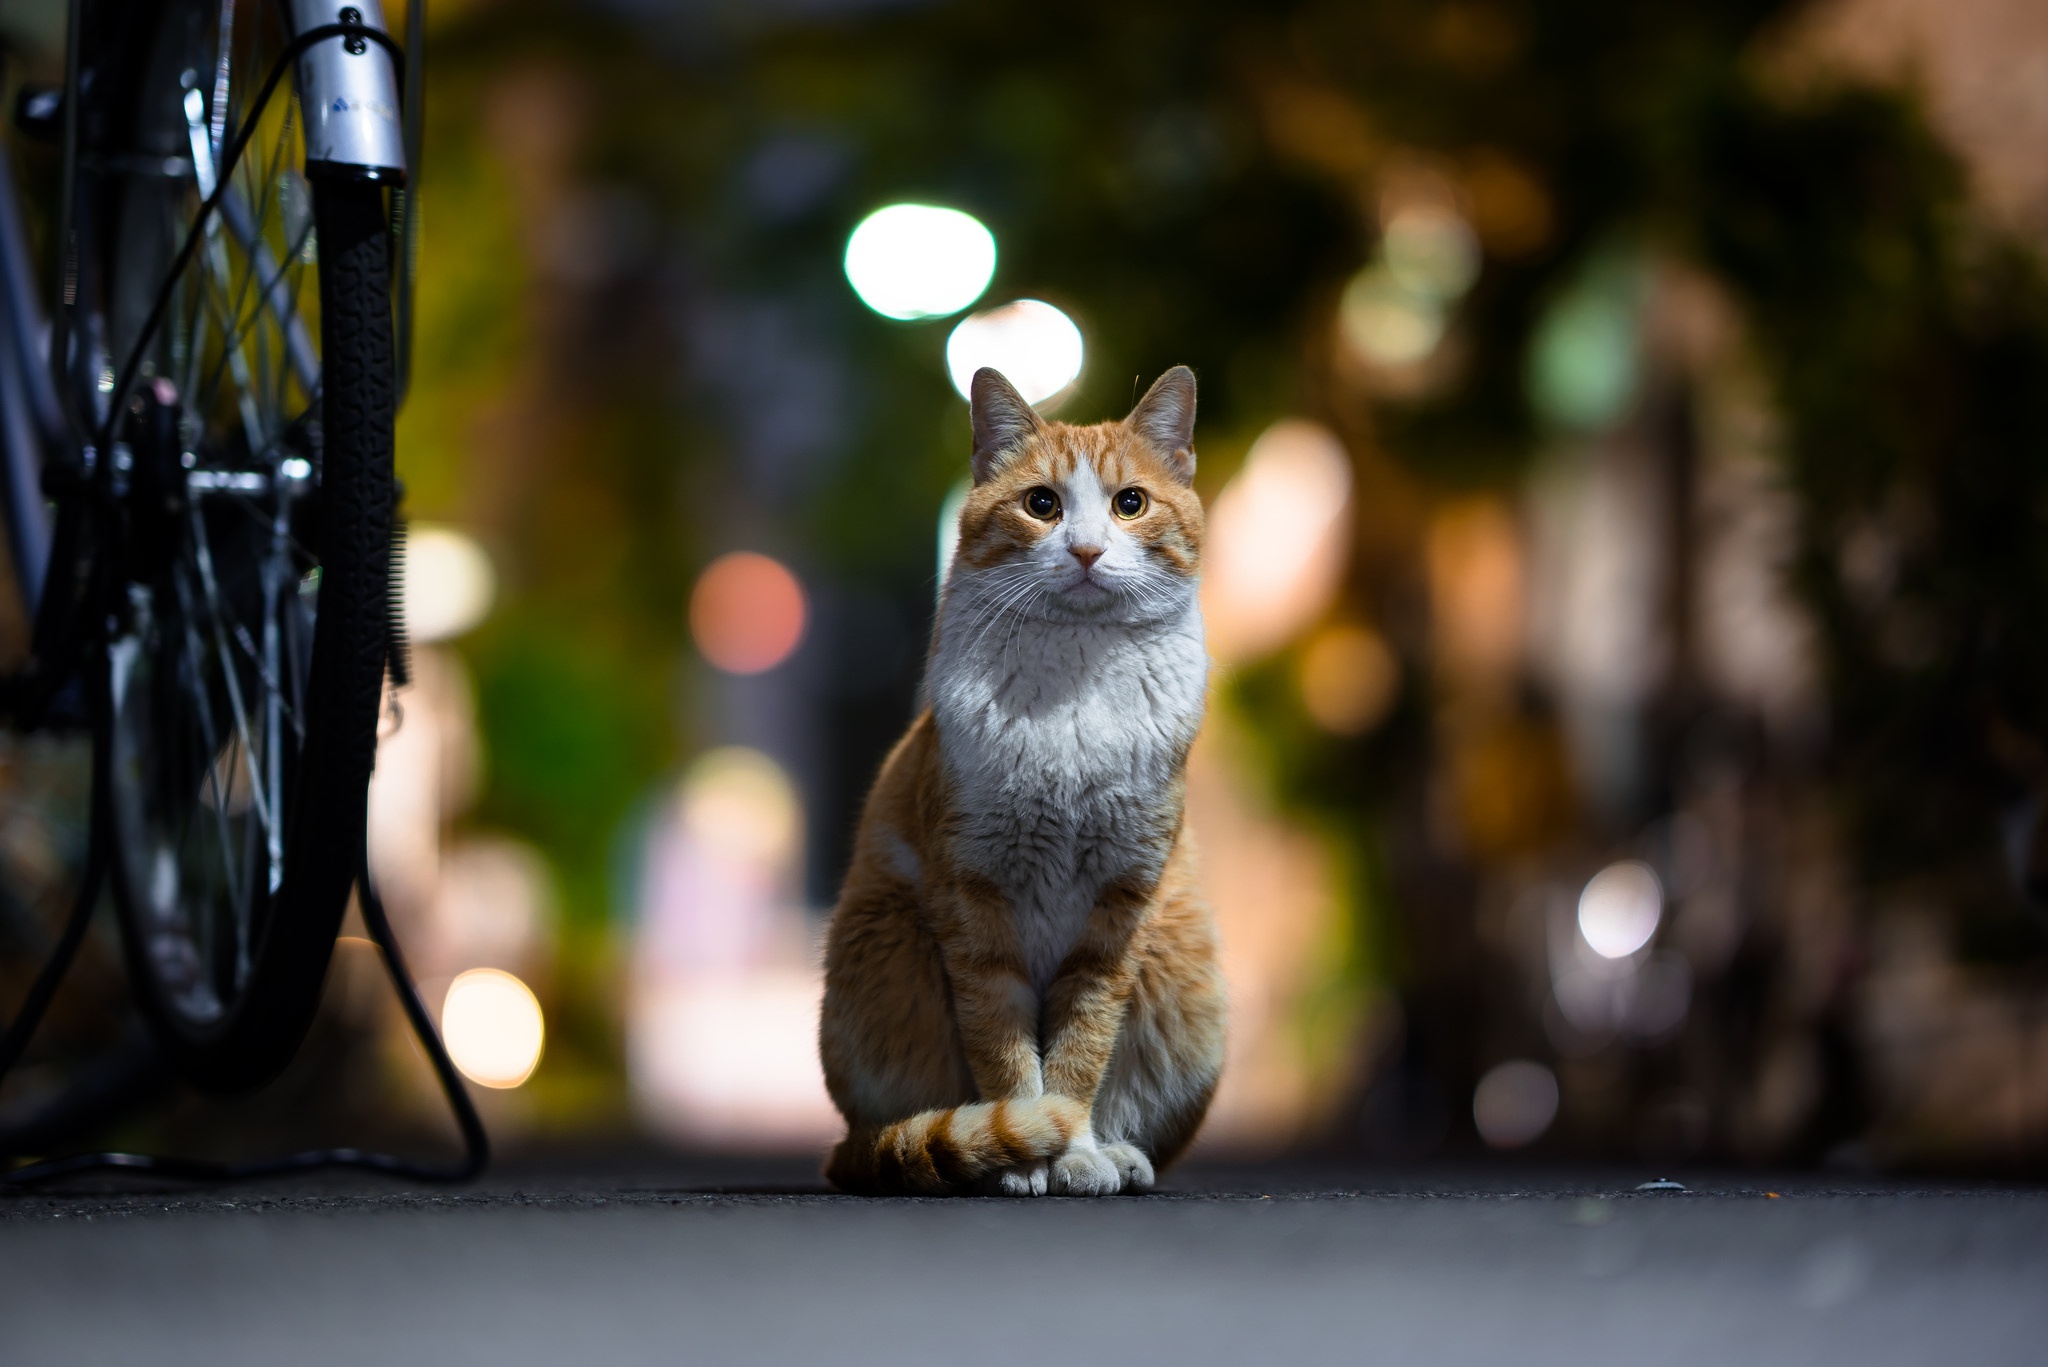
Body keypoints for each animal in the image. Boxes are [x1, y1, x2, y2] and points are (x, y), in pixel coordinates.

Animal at [823, 366, 1220, 1196]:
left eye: (1129, 503)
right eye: (1042, 504)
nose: (1088, 550)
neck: (1076, 679)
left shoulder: (1120, 906)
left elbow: (1081, 1049)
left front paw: (1076, 1151)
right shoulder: (974, 898)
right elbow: (1005, 1047)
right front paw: (1025, 1150)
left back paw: (1119, 1150)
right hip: (886, 945)